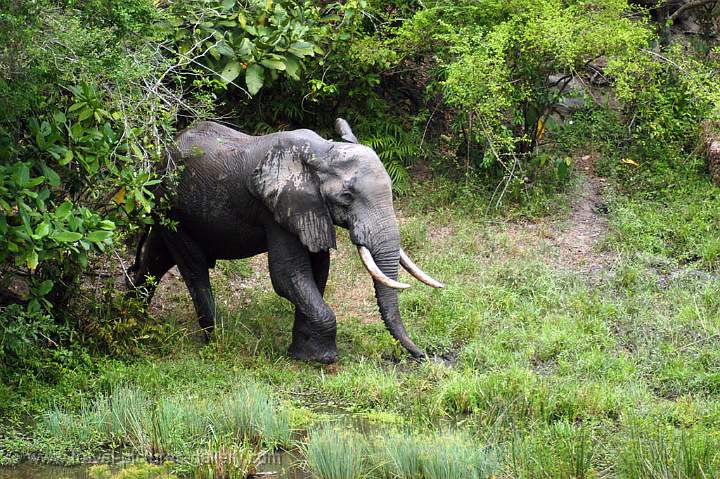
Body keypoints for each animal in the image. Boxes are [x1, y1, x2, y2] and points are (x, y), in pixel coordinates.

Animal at [130, 119, 444, 364]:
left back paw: (133, 321)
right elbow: (287, 275)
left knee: (156, 259)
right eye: (346, 197)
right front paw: (324, 359)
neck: (321, 153)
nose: (423, 355)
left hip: (170, 211)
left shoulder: (311, 208)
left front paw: (303, 355)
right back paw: (214, 343)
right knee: (193, 268)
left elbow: (318, 270)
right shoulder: (277, 209)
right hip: (171, 206)